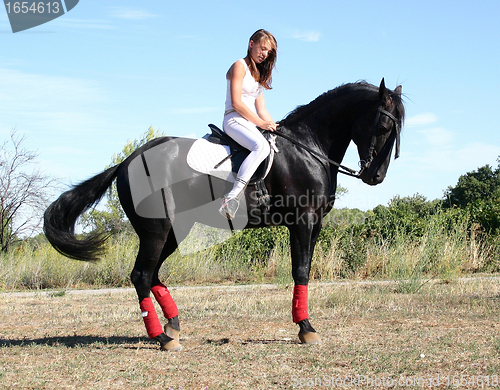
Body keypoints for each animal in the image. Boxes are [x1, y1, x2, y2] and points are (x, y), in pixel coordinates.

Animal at [43, 78, 402, 350]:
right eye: (384, 125)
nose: (376, 176)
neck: (307, 147)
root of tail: (126, 162)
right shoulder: (303, 221)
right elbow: (300, 271)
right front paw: (306, 329)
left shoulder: (316, 224)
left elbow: (306, 271)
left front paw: (305, 326)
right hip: (156, 230)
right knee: (141, 276)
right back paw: (162, 338)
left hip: (173, 232)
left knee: (153, 274)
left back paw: (173, 325)